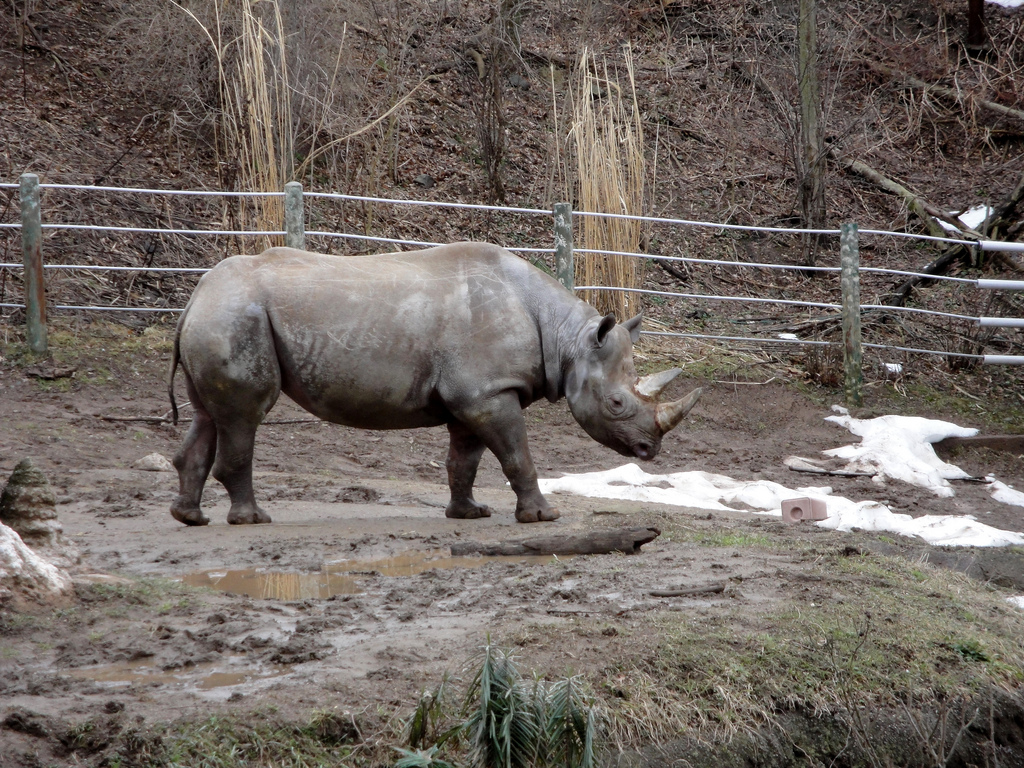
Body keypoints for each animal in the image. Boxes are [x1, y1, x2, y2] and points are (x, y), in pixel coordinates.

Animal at [167, 242, 701, 526]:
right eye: (616, 403)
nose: (650, 450)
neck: (567, 336)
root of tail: (195, 296)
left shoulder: (478, 393)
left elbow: (464, 459)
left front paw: (469, 513)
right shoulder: (489, 394)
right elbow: (517, 454)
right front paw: (542, 517)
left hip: (221, 315)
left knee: (207, 415)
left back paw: (190, 519)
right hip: (235, 316)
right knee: (244, 415)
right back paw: (251, 520)